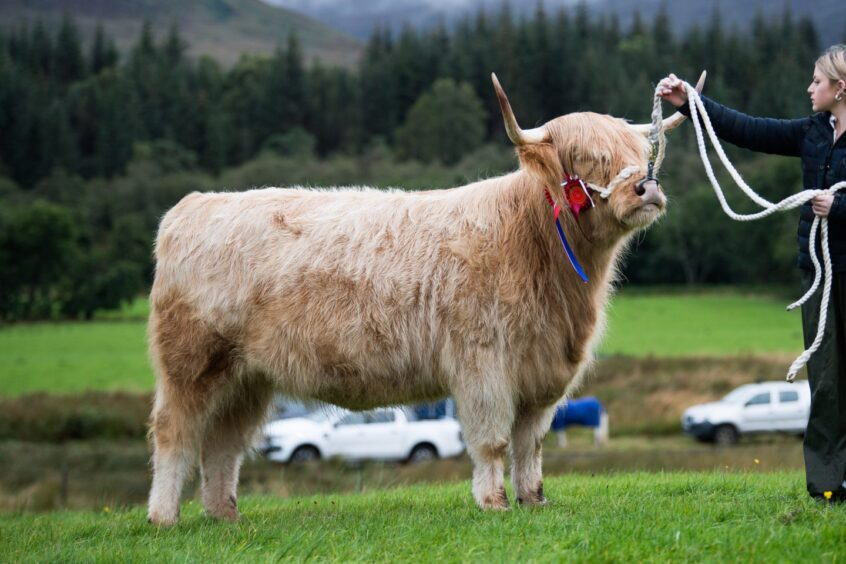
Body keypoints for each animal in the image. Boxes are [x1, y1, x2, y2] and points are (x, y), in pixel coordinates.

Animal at [151, 74, 704, 524]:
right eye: (589, 157)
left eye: (641, 151)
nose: (646, 187)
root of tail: (192, 206)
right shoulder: (482, 365)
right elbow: (493, 441)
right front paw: (494, 503)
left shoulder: (541, 372)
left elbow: (530, 444)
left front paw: (534, 500)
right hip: (191, 363)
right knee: (175, 434)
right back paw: (164, 516)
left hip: (247, 377)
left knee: (224, 444)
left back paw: (225, 514)